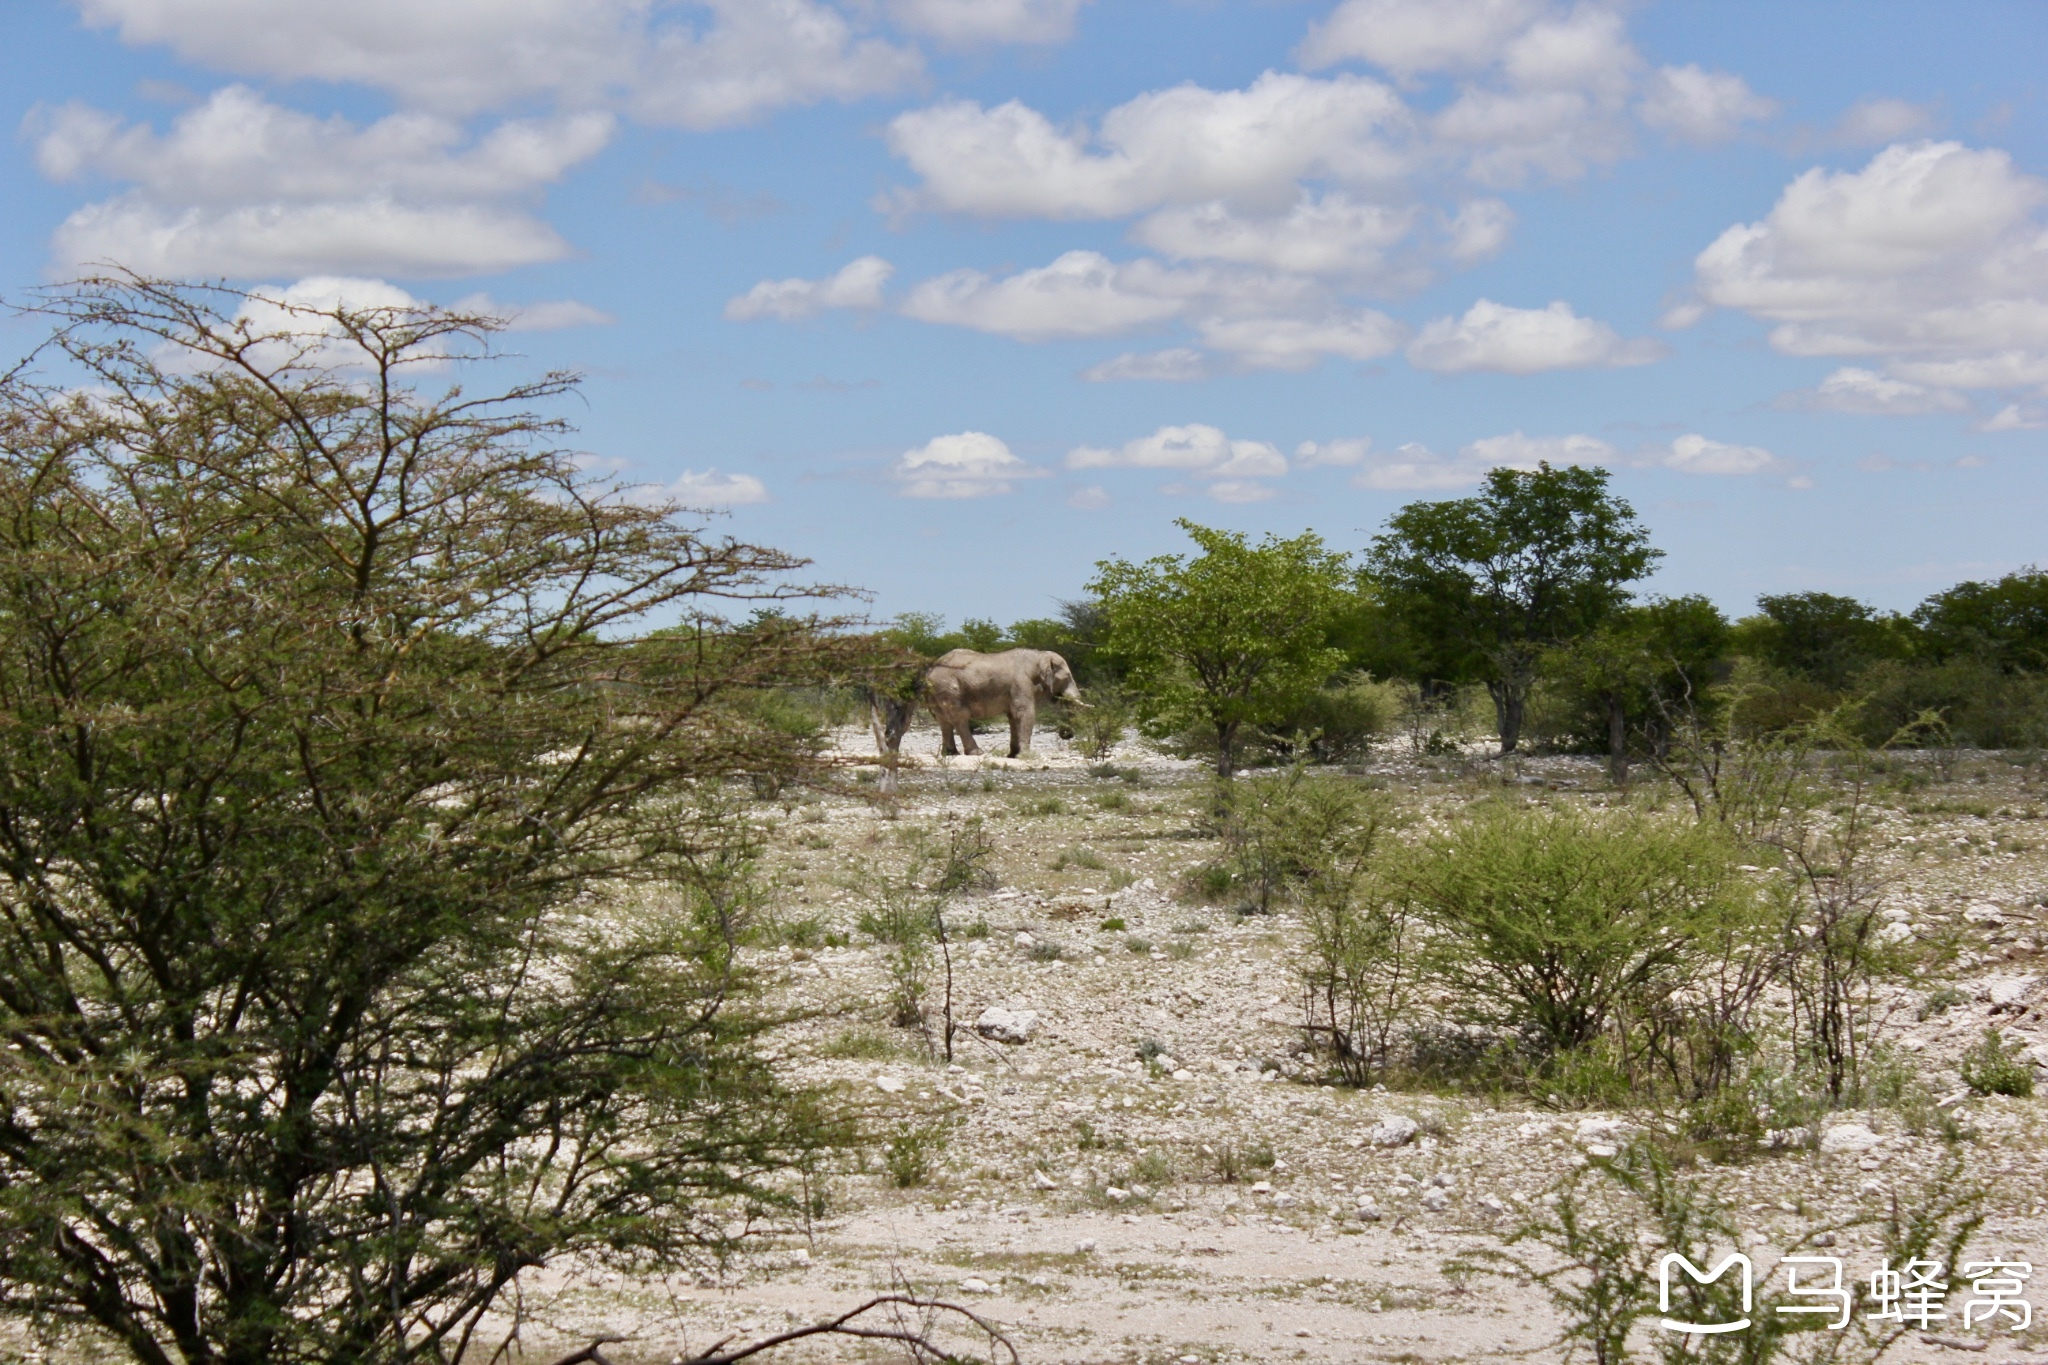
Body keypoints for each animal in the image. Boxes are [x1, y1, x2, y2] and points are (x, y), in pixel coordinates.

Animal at [921, 650, 1081, 757]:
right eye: (1067, 677)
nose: (1064, 733)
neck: (1039, 656)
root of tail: (930, 671)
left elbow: (1013, 717)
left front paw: (1013, 755)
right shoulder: (1021, 683)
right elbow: (1025, 713)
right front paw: (1025, 756)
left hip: (938, 691)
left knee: (944, 721)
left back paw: (951, 754)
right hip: (948, 688)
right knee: (960, 718)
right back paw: (976, 753)